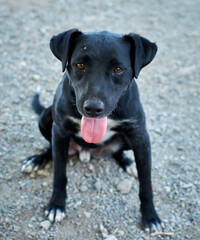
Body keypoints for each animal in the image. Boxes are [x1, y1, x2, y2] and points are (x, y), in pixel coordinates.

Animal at [22, 28, 164, 232]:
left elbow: (146, 183)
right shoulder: (60, 131)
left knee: (118, 151)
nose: (93, 108)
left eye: (118, 69)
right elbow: (59, 173)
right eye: (80, 65)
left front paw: (151, 216)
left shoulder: (141, 137)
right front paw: (56, 205)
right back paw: (36, 160)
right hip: (46, 118)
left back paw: (128, 162)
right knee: (51, 148)